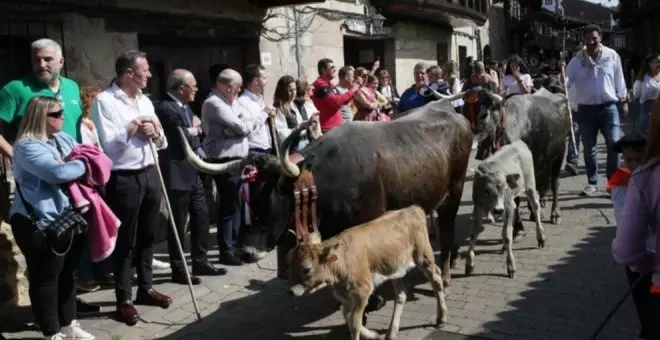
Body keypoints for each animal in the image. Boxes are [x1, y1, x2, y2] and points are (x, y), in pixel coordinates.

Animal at [286, 205, 446, 340]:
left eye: (307, 269)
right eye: (290, 265)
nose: (291, 291)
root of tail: (412, 208)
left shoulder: (362, 291)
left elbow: (354, 322)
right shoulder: (346, 297)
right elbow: (347, 316)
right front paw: (372, 335)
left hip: (424, 257)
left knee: (436, 280)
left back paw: (441, 318)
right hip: (396, 269)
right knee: (401, 294)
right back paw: (392, 332)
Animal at [464, 140, 548, 278]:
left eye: (504, 189)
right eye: (486, 190)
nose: (498, 210)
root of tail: (519, 143)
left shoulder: (507, 206)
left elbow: (507, 236)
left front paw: (511, 266)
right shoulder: (478, 208)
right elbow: (473, 233)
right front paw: (469, 264)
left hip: (529, 183)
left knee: (535, 205)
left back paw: (541, 237)